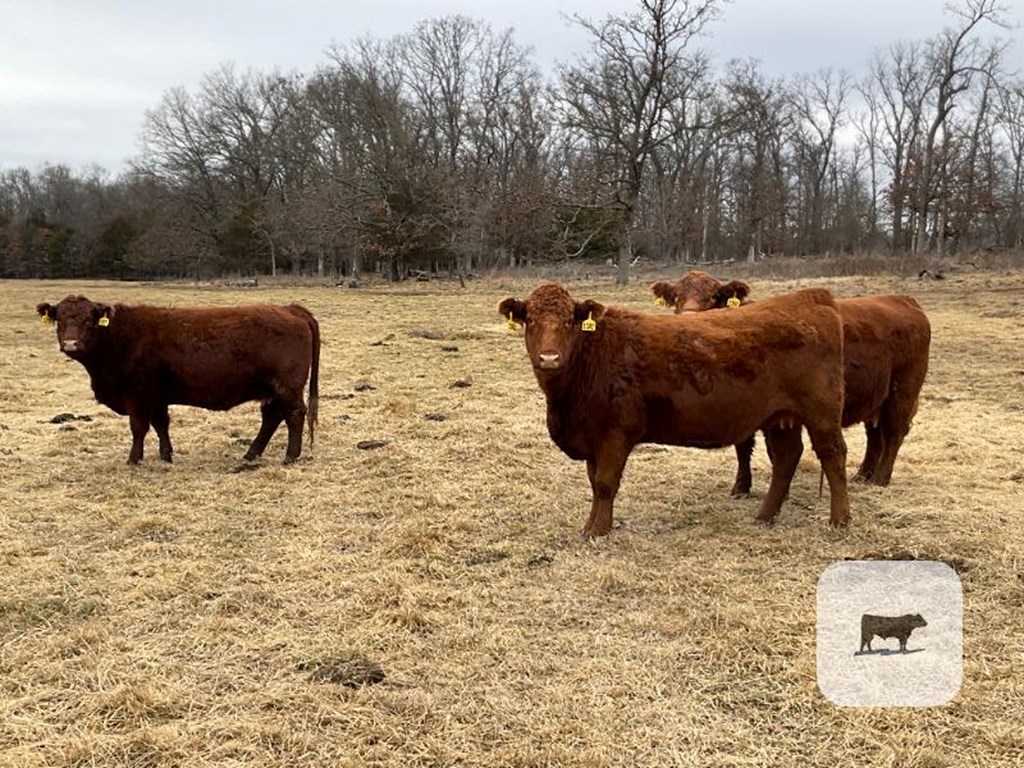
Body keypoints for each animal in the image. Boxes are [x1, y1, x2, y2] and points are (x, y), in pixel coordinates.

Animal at [37, 294, 319, 462]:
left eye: (89, 320)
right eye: (59, 319)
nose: (71, 344)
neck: (118, 337)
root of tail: (290, 309)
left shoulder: (138, 394)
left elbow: (139, 427)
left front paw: (134, 458)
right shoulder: (157, 397)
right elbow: (161, 424)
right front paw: (166, 454)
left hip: (286, 387)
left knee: (294, 415)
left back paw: (290, 456)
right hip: (271, 390)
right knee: (272, 418)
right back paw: (251, 454)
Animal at [501, 282, 847, 540]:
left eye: (569, 322)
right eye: (530, 320)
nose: (549, 357)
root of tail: (811, 299)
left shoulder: (616, 433)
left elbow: (605, 484)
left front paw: (598, 531)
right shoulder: (592, 438)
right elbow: (594, 483)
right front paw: (591, 526)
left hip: (822, 413)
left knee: (833, 455)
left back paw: (839, 521)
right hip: (780, 419)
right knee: (787, 458)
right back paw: (764, 516)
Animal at [651, 274, 933, 495]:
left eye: (713, 297)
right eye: (676, 297)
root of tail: (904, 300)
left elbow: (773, 452)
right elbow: (744, 446)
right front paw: (741, 486)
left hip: (903, 390)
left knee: (894, 432)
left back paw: (880, 479)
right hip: (875, 397)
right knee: (875, 434)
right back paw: (863, 475)